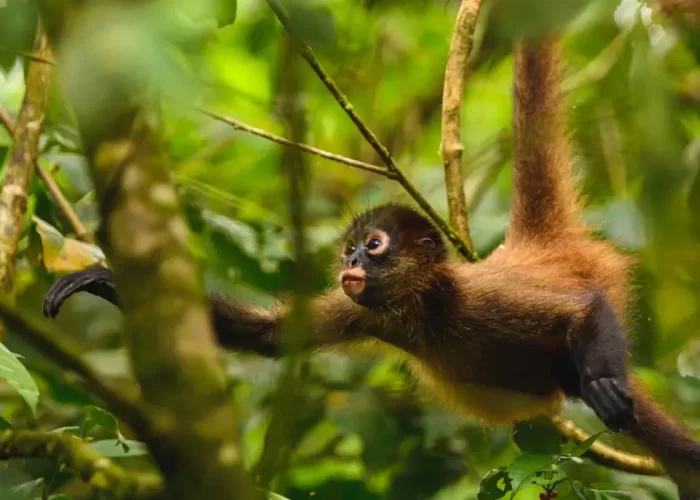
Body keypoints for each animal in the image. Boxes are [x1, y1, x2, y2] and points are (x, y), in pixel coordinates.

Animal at [41, 40, 700, 497]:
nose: (352, 261)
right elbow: (271, 338)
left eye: (375, 246)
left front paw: (605, 385)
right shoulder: (370, 314)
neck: (426, 310)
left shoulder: (475, 303)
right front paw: (102, 281)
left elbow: (586, 310)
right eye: (349, 250)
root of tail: (538, 245)